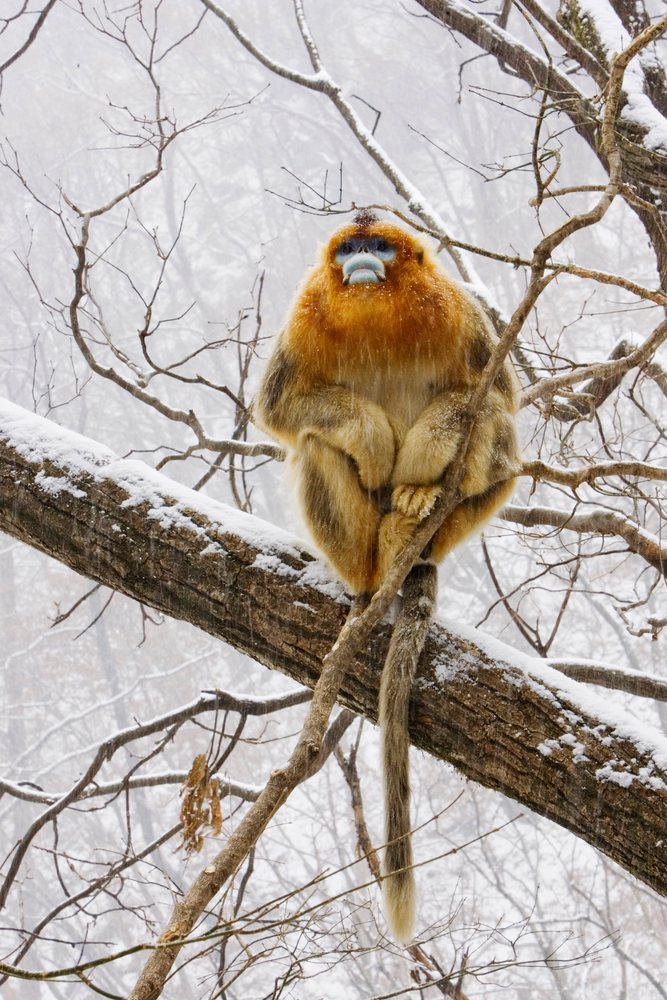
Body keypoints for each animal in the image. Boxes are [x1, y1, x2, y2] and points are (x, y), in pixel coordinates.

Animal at [255, 210, 519, 943]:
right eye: (349, 249)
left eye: (378, 247)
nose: (361, 263)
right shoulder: (304, 315)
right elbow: (278, 408)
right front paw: (373, 436)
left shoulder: (460, 313)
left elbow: (497, 399)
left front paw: (422, 458)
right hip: (356, 546)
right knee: (316, 442)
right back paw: (369, 572)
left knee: (495, 432)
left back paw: (415, 512)